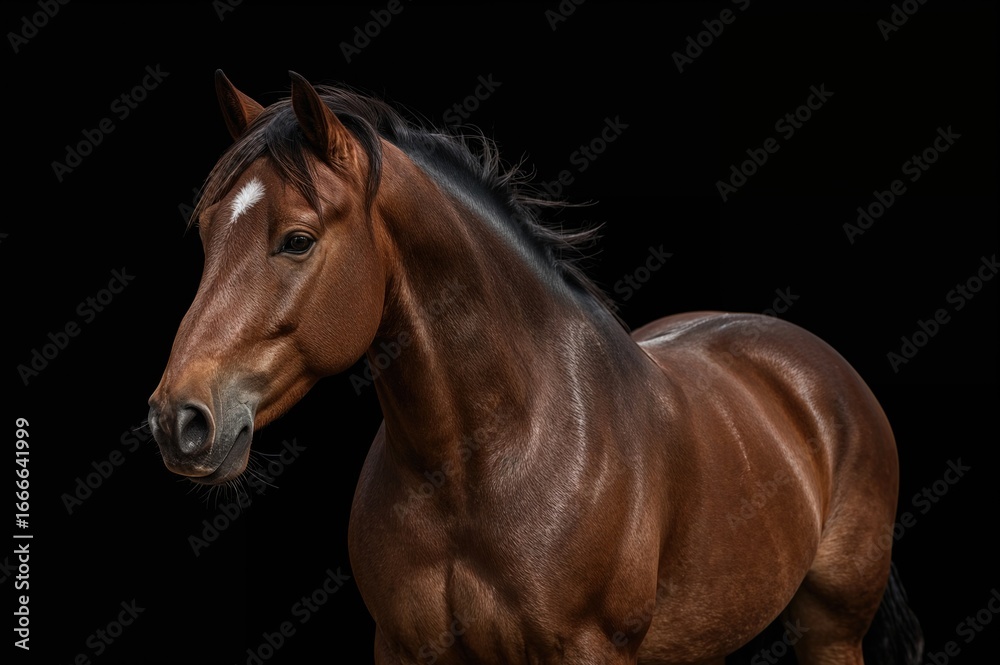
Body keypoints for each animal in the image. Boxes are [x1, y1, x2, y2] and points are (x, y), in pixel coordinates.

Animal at [148, 70, 923, 664]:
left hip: (830, 632)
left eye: (297, 240)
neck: (483, 458)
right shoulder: (406, 649)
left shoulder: (586, 650)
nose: (177, 420)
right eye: (209, 234)